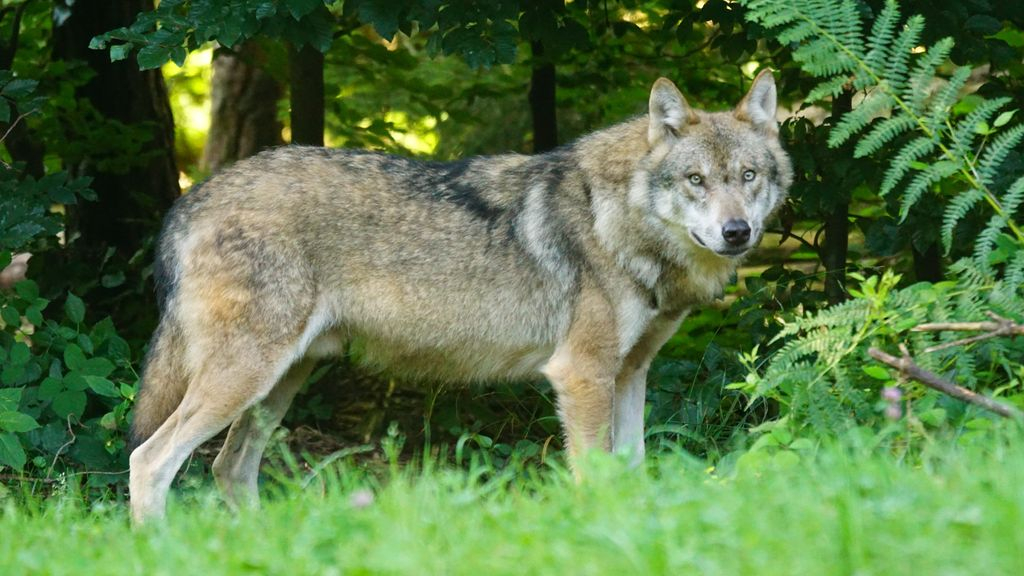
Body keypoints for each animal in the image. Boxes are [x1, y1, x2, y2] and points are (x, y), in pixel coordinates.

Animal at [128, 70, 792, 522]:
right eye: (696, 180)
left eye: (748, 177)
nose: (737, 232)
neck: (618, 219)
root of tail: (191, 198)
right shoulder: (582, 375)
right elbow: (596, 478)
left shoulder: (630, 374)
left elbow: (633, 472)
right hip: (246, 378)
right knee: (150, 460)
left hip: (279, 383)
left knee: (229, 468)